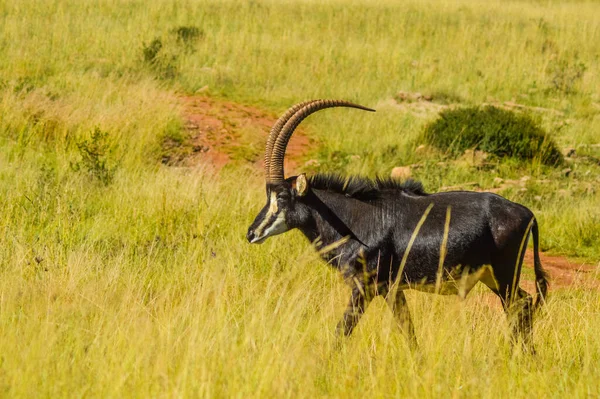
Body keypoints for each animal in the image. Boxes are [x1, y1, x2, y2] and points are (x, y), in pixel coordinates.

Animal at [247, 99, 548, 350]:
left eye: (282, 197)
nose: (252, 233)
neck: (355, 218)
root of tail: (528, 213)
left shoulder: (365, 287)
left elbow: (343, 329)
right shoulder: (391, 289)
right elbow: (407, 329)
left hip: (504, 275)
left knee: (520, 305)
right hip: (492, 277)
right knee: (522, 304)